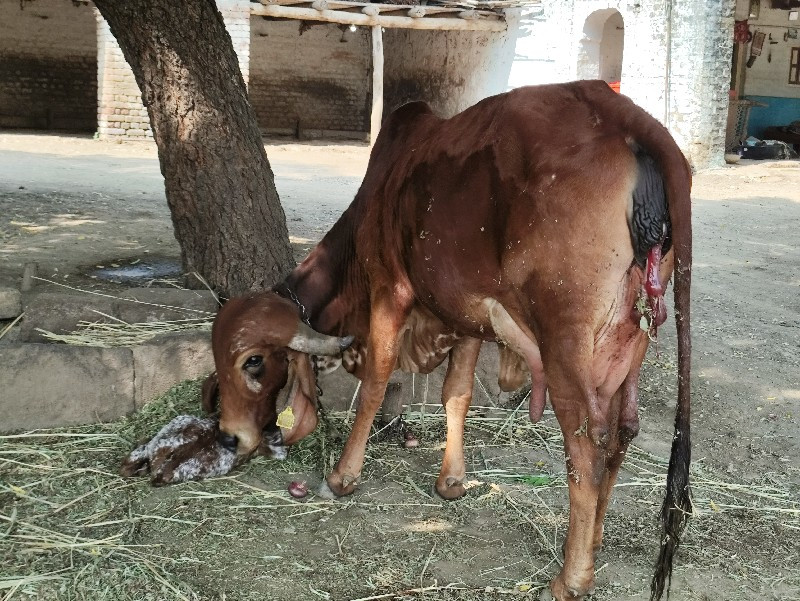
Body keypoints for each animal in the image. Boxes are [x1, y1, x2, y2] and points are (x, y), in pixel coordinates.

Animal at [203, 81, 692, 600]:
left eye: (252, 361)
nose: (230, 435)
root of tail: (625, 115)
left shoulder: (391, 289)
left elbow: (375, 384)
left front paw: (341, 477)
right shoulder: (467, 316)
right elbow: (456, 394)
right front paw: (451, 482)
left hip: (565, 339)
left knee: (587, 445)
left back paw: (570, 578)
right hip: (629, 340)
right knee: (622, 433)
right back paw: (593, 544)